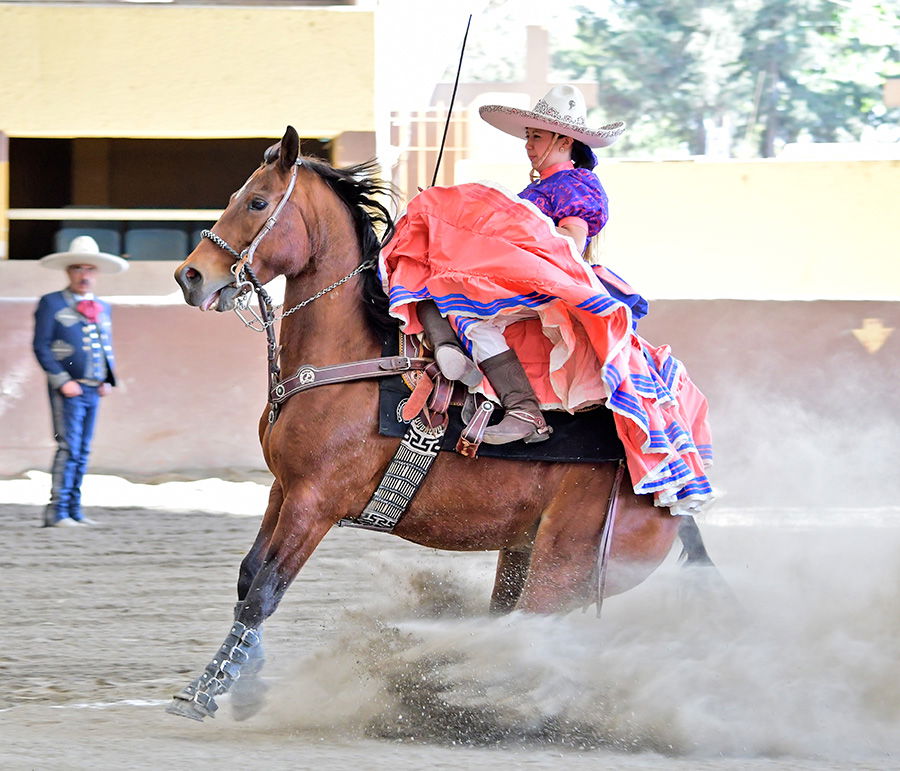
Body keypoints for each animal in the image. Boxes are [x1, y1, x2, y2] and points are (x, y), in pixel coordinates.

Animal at [172, 126, 700, 724]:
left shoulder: (316, 502)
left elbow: (265, 590)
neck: (350, 361)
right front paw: (247, 684)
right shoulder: (283, 490)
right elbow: (248, 577)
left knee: (532, 634)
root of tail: (671, 494)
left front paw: (205, 690)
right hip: (521, 555)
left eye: (258, 202)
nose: (190, 275)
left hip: (564, 569)